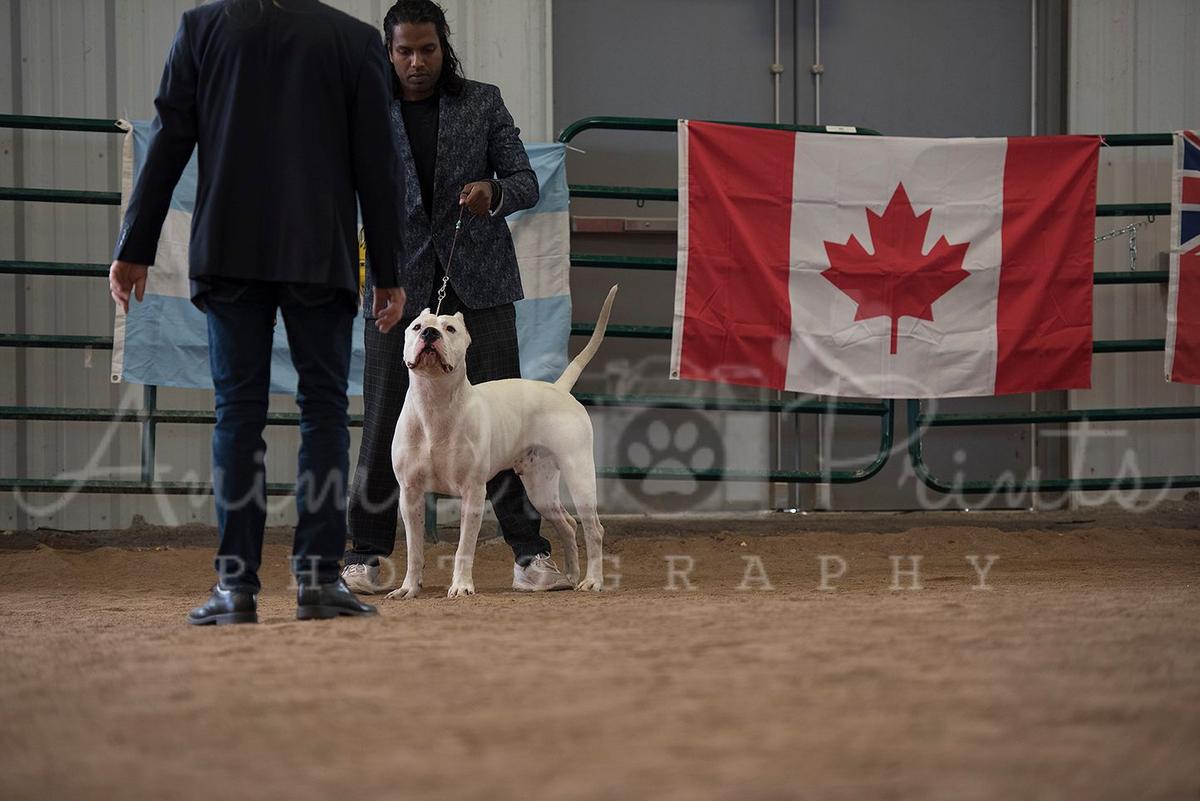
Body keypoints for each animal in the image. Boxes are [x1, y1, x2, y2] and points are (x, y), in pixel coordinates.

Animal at [388, 284, 619, 597]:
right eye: (417, 327)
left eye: (450, 328)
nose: (430, 334)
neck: (434, 403)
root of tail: (559, 388)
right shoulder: (410, 493)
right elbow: (414, 550)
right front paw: (409, 588)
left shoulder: (473, 492)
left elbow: (464, 547)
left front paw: (461, 586)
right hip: (540, 486)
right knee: (568, 524)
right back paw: (570, 576)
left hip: (579, 473)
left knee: (593, 529)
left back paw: (592, 580)